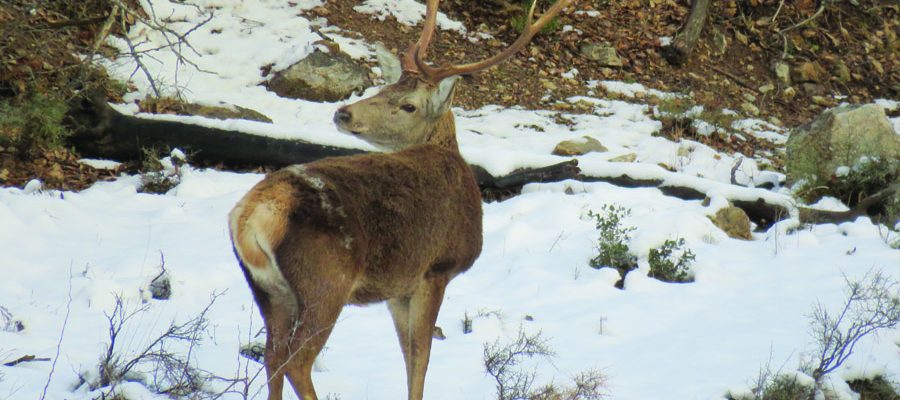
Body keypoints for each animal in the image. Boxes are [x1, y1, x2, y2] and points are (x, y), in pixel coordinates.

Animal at [227, 0, 576, 400]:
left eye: (407, 104)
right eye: (384, 88)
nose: (343, 112)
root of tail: (251, 217)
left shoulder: (397, 288)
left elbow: (407, 355)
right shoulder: (435, 269)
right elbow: (421, 358)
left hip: (268, 290)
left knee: (272, 356)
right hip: (325, 281)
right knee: (296, 361)